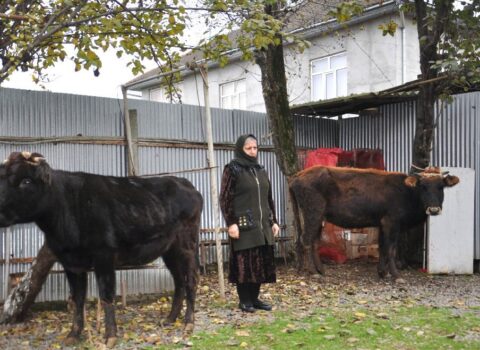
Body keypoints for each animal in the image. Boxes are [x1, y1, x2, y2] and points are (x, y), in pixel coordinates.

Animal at [0, 152, 202, 346]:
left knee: (191, 279)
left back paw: (189, 323)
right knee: (179, 280)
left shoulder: (104, 255)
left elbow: (106, 295)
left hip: (187, 243)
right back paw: (170, 319)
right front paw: (73, 335)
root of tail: (183, 182)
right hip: (169, 250)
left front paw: (109, 337)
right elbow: (78, 298)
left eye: (26, 181)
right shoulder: (70, 263)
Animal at [286, 166, 460, 282]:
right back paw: (312, 271)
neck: (407, 191)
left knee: (314, 241)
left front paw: (382, 272)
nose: (434, 209)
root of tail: (298, 175)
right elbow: (391, 249)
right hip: (312, 213)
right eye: (423, 187)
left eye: (441, 187)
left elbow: (382, 247)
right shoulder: (392, 222)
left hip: (318, 217)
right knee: (306, 240)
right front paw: (396, 276)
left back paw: (321, 270)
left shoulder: (382, 223)